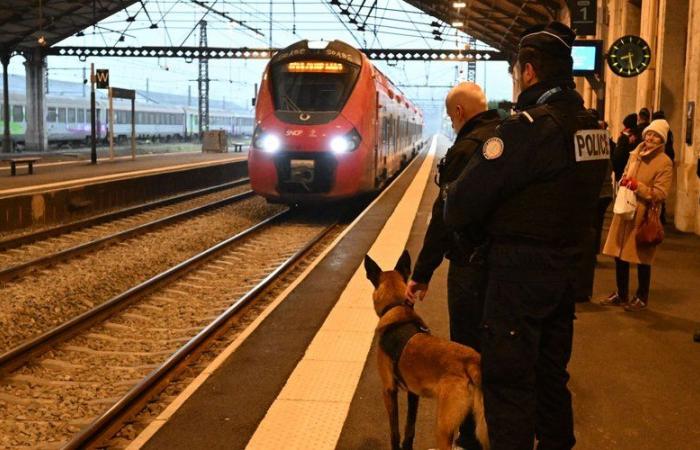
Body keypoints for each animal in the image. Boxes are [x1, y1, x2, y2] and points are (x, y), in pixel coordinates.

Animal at [364, 251, 490, 448]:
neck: (397, 307)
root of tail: (471, 360)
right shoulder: (413, 393)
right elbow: (410, 429)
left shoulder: (389, 390)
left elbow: (395, 432)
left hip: (443, 428)